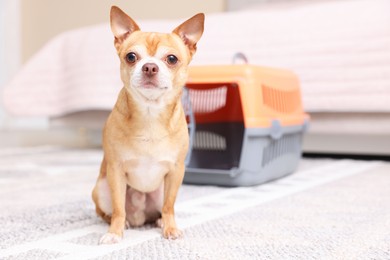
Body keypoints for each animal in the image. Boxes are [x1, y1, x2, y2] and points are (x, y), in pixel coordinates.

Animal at [91, 6, 204, 246]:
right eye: (131, 57)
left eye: (172, 59)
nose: (150, 66)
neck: (150, 113)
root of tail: (139, 217)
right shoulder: (115, 170)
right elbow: (118, 208)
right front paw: (114, 233)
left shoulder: (175, 171)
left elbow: (169, 205)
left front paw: (170, 229)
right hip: (101, 189)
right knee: (111, 212)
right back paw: (123, 223)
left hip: (160, 191)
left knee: (163, 209)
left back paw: (161, 221)